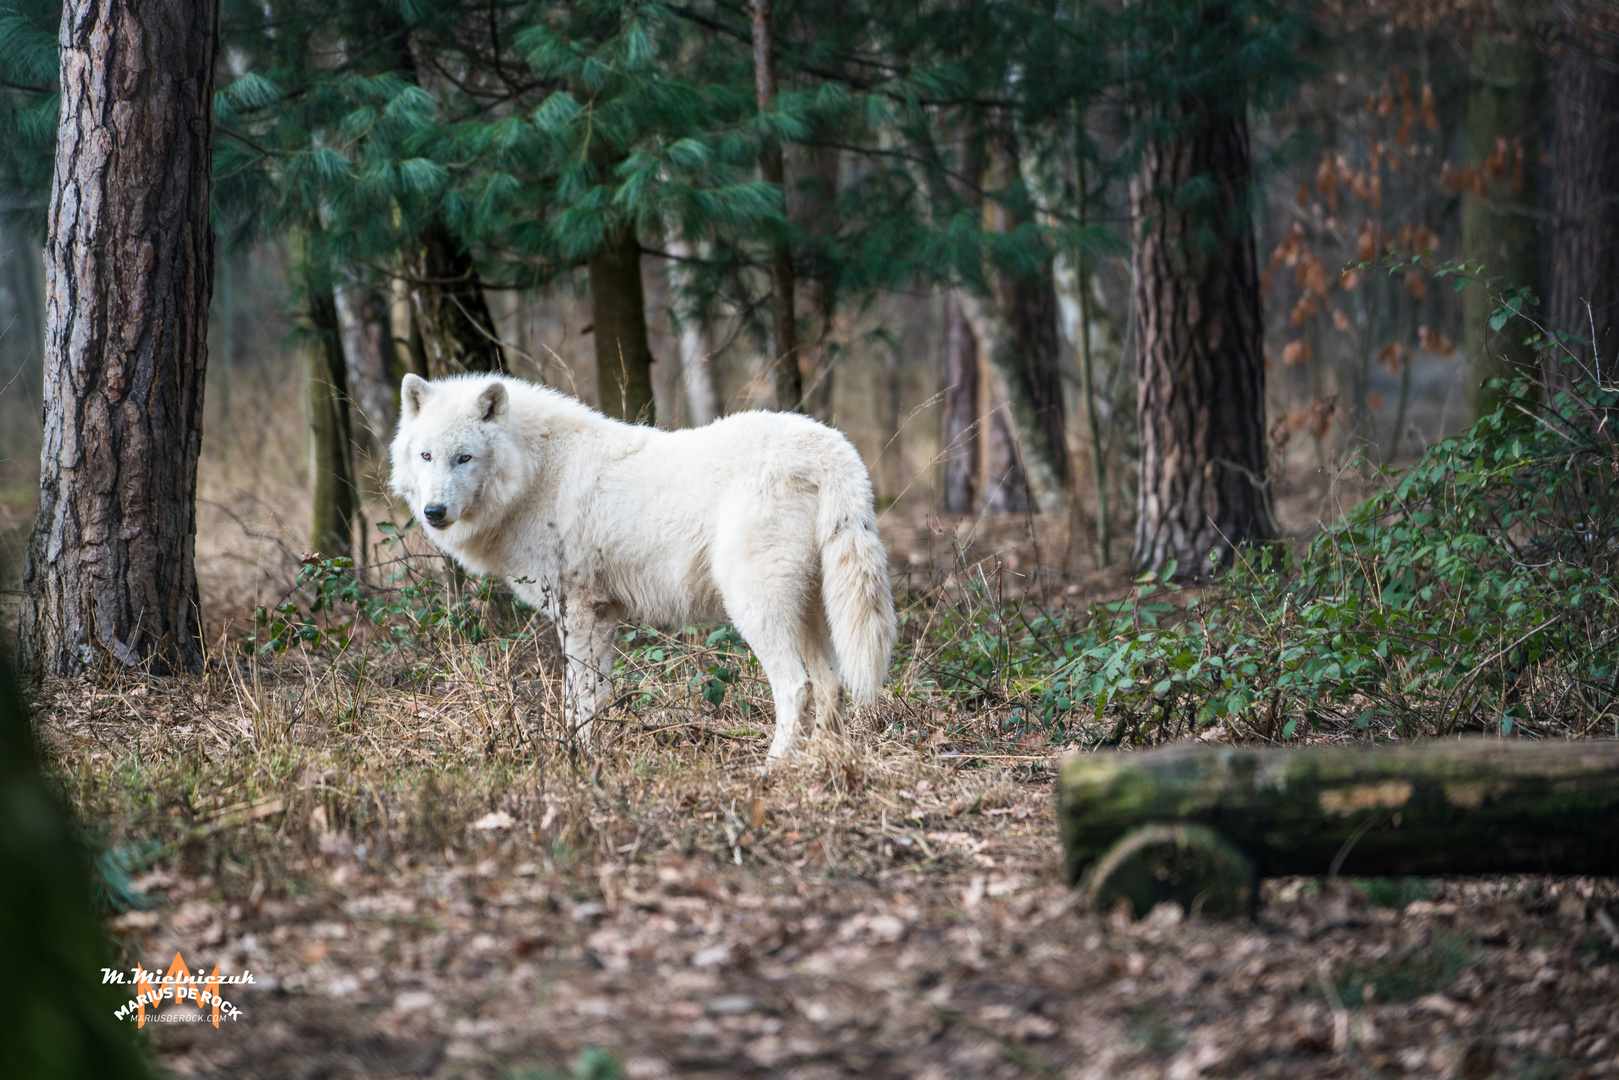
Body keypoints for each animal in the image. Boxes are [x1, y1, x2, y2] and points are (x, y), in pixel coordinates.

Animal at [390, 374, 900, 761]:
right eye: (426, 456)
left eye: (465, 458)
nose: (434, 512)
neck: (536, 475)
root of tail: (828, 443)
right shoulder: (601, 617)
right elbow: (597, 696)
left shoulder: (578, 614)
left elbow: (579, 701)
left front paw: (575, 758)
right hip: (813, 612)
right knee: (832, 687)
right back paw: (825, 764)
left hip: (755, 608)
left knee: (797, 688)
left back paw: (773, 768)